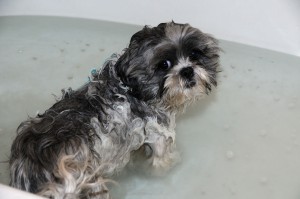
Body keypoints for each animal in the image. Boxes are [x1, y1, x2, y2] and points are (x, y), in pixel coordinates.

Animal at [8, 21, 220, 199]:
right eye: (164, 64)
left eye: (194, 54)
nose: (187, 71)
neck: (131, 88)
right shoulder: (159, 136)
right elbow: (162, 162)